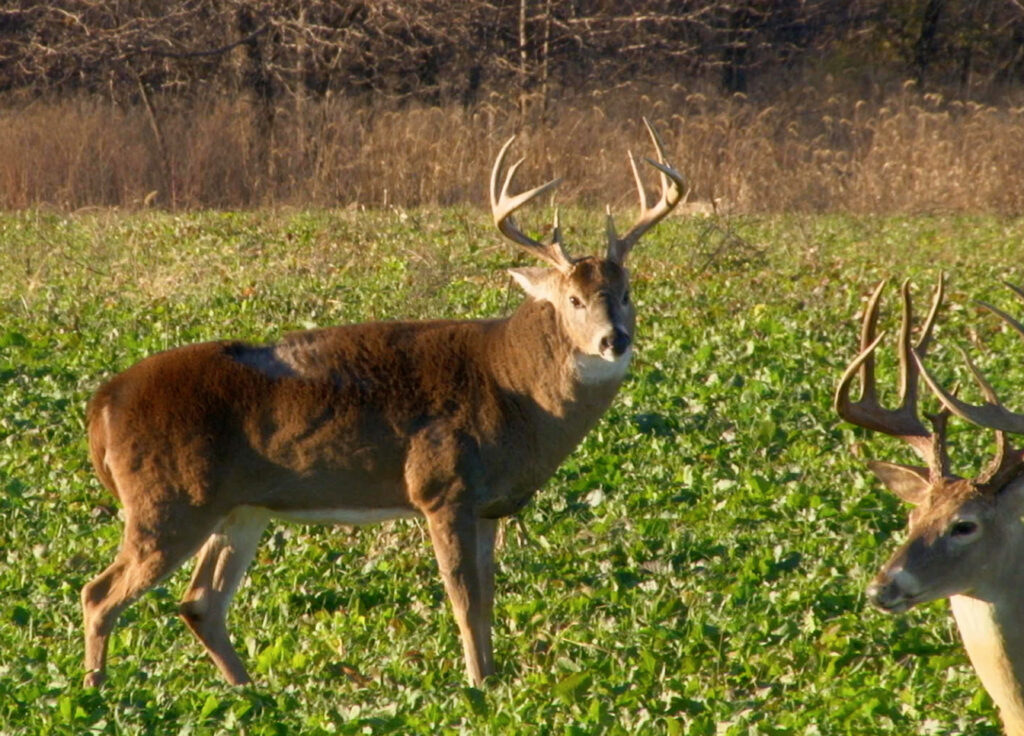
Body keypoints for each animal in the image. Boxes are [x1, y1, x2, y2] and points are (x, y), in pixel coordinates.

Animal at [81, 118, 688, 687]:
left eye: (626, 293)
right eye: (574, 299)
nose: (614, 340)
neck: (514, 385)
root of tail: (103, 403)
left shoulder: (487, 505)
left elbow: (487, 601)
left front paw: (493, 679)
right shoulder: (442, 487)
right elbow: (464, 601)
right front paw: (479, 686)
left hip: (240, 508)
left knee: (200, 603)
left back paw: (252, 692)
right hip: (168, 500)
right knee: (100, 592)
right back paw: (98, 693)